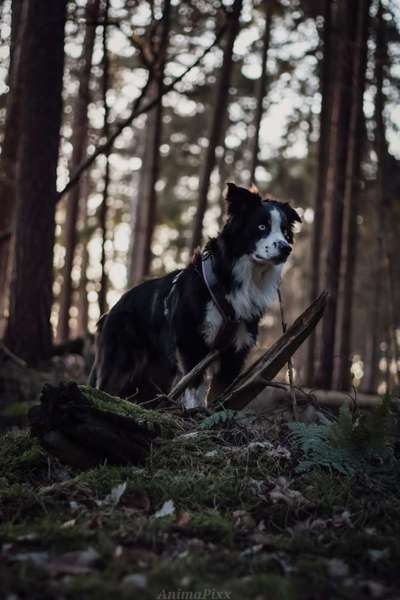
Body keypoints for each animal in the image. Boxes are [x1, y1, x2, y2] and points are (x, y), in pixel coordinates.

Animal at [88, 183, 300, 408]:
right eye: (261, 227)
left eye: (285, 231)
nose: (286, 248)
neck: (237, 278)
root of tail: (109, 313)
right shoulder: (191, 343)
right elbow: (195, 388)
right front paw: (194, 411)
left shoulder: (236, 350)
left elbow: (219, 393)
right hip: (121, 364)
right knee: (107, 388)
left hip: (155, 374)